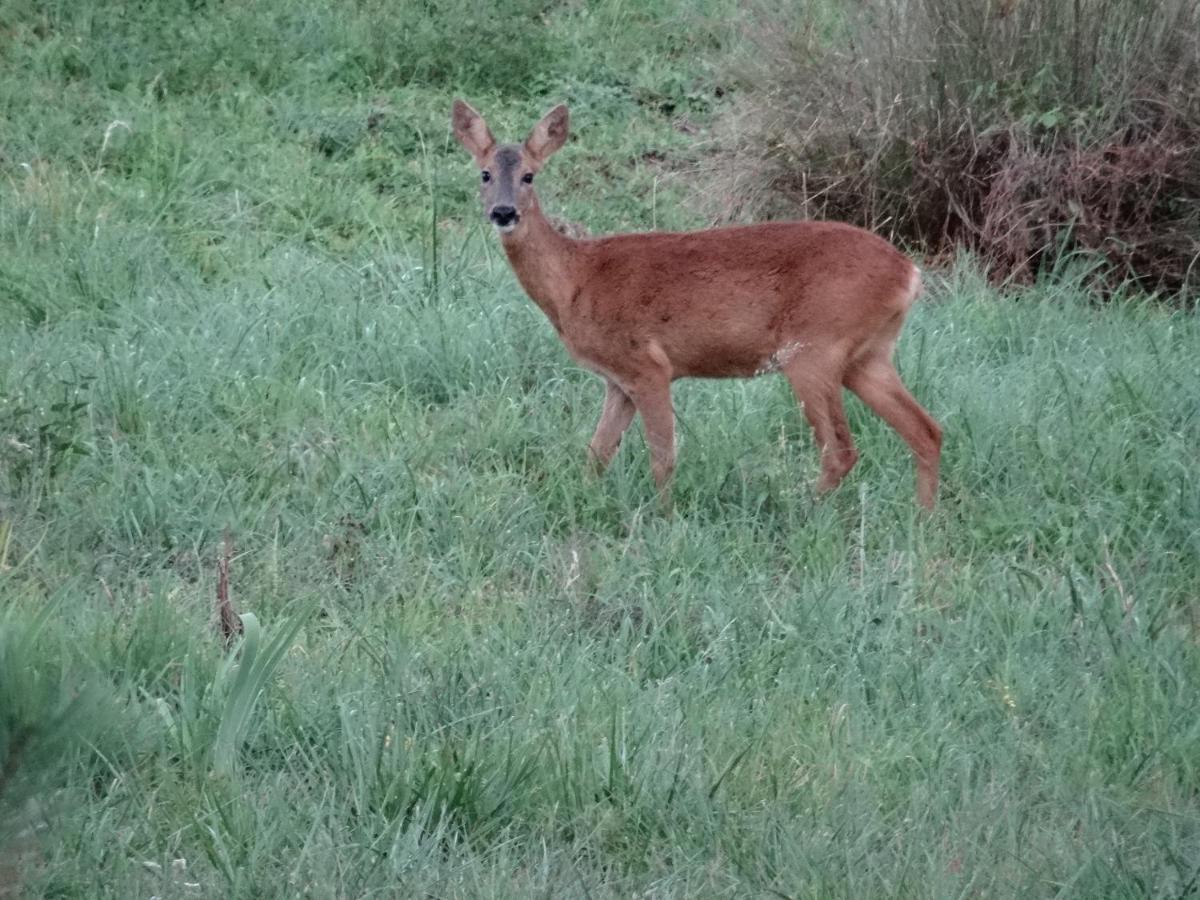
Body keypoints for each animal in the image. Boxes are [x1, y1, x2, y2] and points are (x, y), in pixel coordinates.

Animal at [448, 102, 936, 511]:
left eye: (530, 175)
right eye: (484, 174)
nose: (504, 213)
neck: (577, 281)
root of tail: (909, 273)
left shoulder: (648, 366)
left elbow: (662, 457)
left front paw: (664, 518)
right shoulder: (617, 382)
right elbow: (597, 452)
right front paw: (582, 502)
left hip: (814, 349)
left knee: (841, 449)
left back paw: (804, 511)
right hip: (867, 356)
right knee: (926, 430)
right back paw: (922, 519)